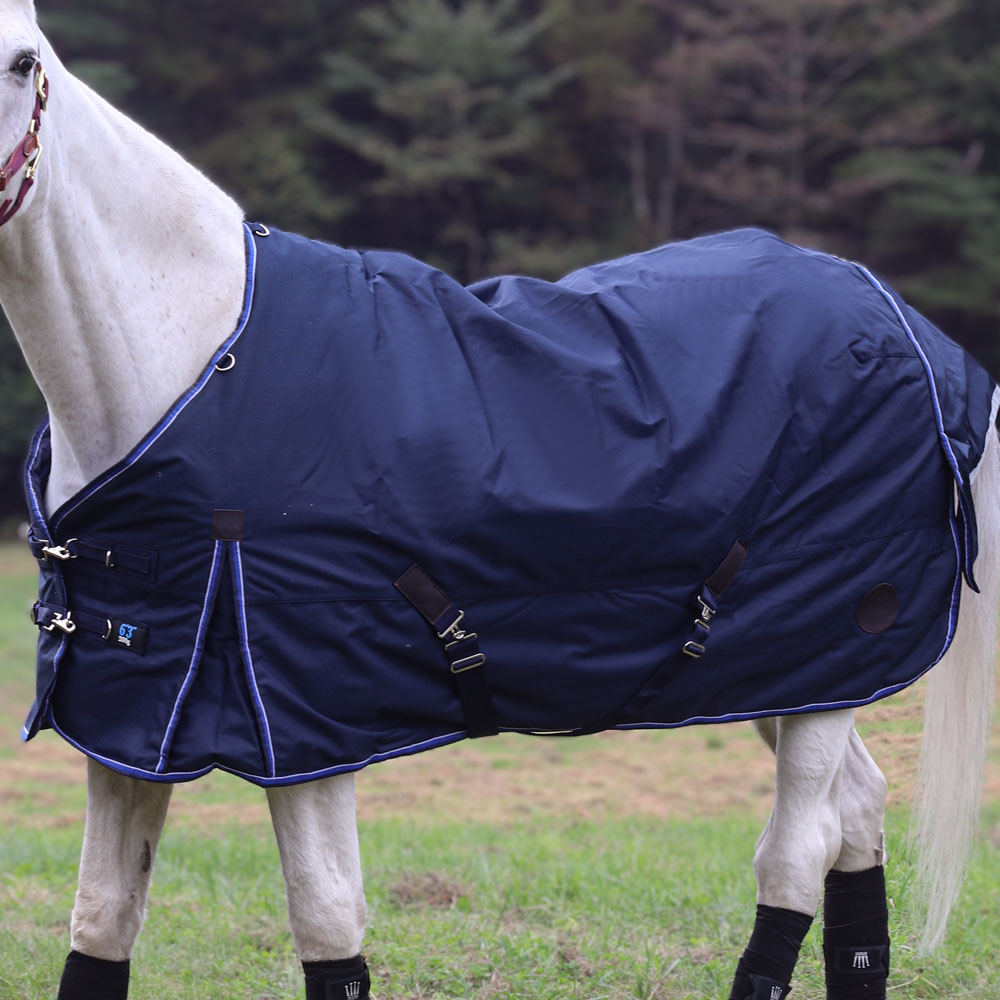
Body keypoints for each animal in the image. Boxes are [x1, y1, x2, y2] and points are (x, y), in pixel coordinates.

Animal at [2, 4, 998, 999]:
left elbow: (326, 923)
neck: (197, 364)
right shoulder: (132, 722)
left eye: (22, 61)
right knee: (858, 814)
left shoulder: (306, 728)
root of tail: (906, 328)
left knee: (797, 851)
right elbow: (102, 919)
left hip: (832, 662)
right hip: (783, 674)